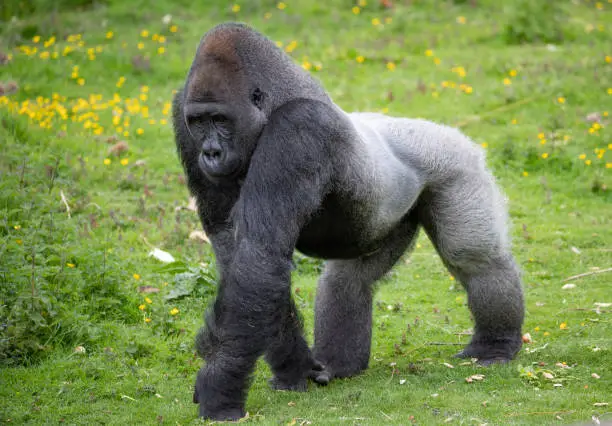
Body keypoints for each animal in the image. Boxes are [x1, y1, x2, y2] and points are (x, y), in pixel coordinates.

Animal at [173, 22, 524, 420]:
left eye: (221, 120)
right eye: (199, 122)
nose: (211, 153)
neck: (277, 101)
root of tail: (447, 130)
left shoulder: (299, 129)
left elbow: (258, 256)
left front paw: (220, 388)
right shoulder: (182, 117)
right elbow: (239, 253)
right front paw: (293, 365)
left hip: (456, 161)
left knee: (476, 259)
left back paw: (495, 343)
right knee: (349, 280)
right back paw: (340, 364)